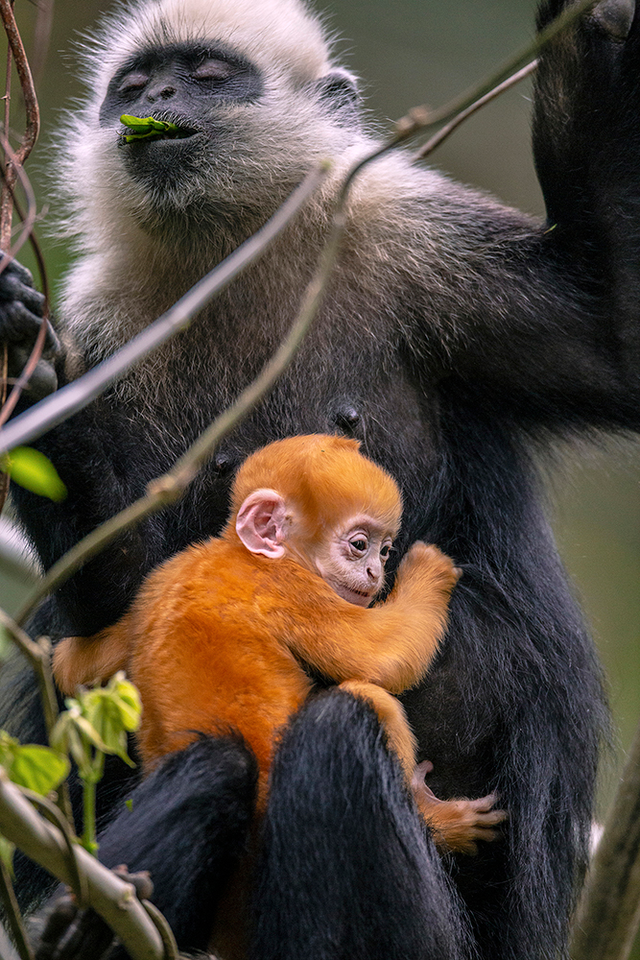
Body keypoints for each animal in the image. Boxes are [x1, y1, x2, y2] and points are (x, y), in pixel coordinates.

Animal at [55, 436, 504, 856]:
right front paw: (431, 567)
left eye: (385, 549)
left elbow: (75, 669)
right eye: (360, 545)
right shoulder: (291, 590)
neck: (242, 551)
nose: (376, 573)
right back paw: (436, 821)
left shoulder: (162, 576)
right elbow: (382, 658)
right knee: (370, 697)